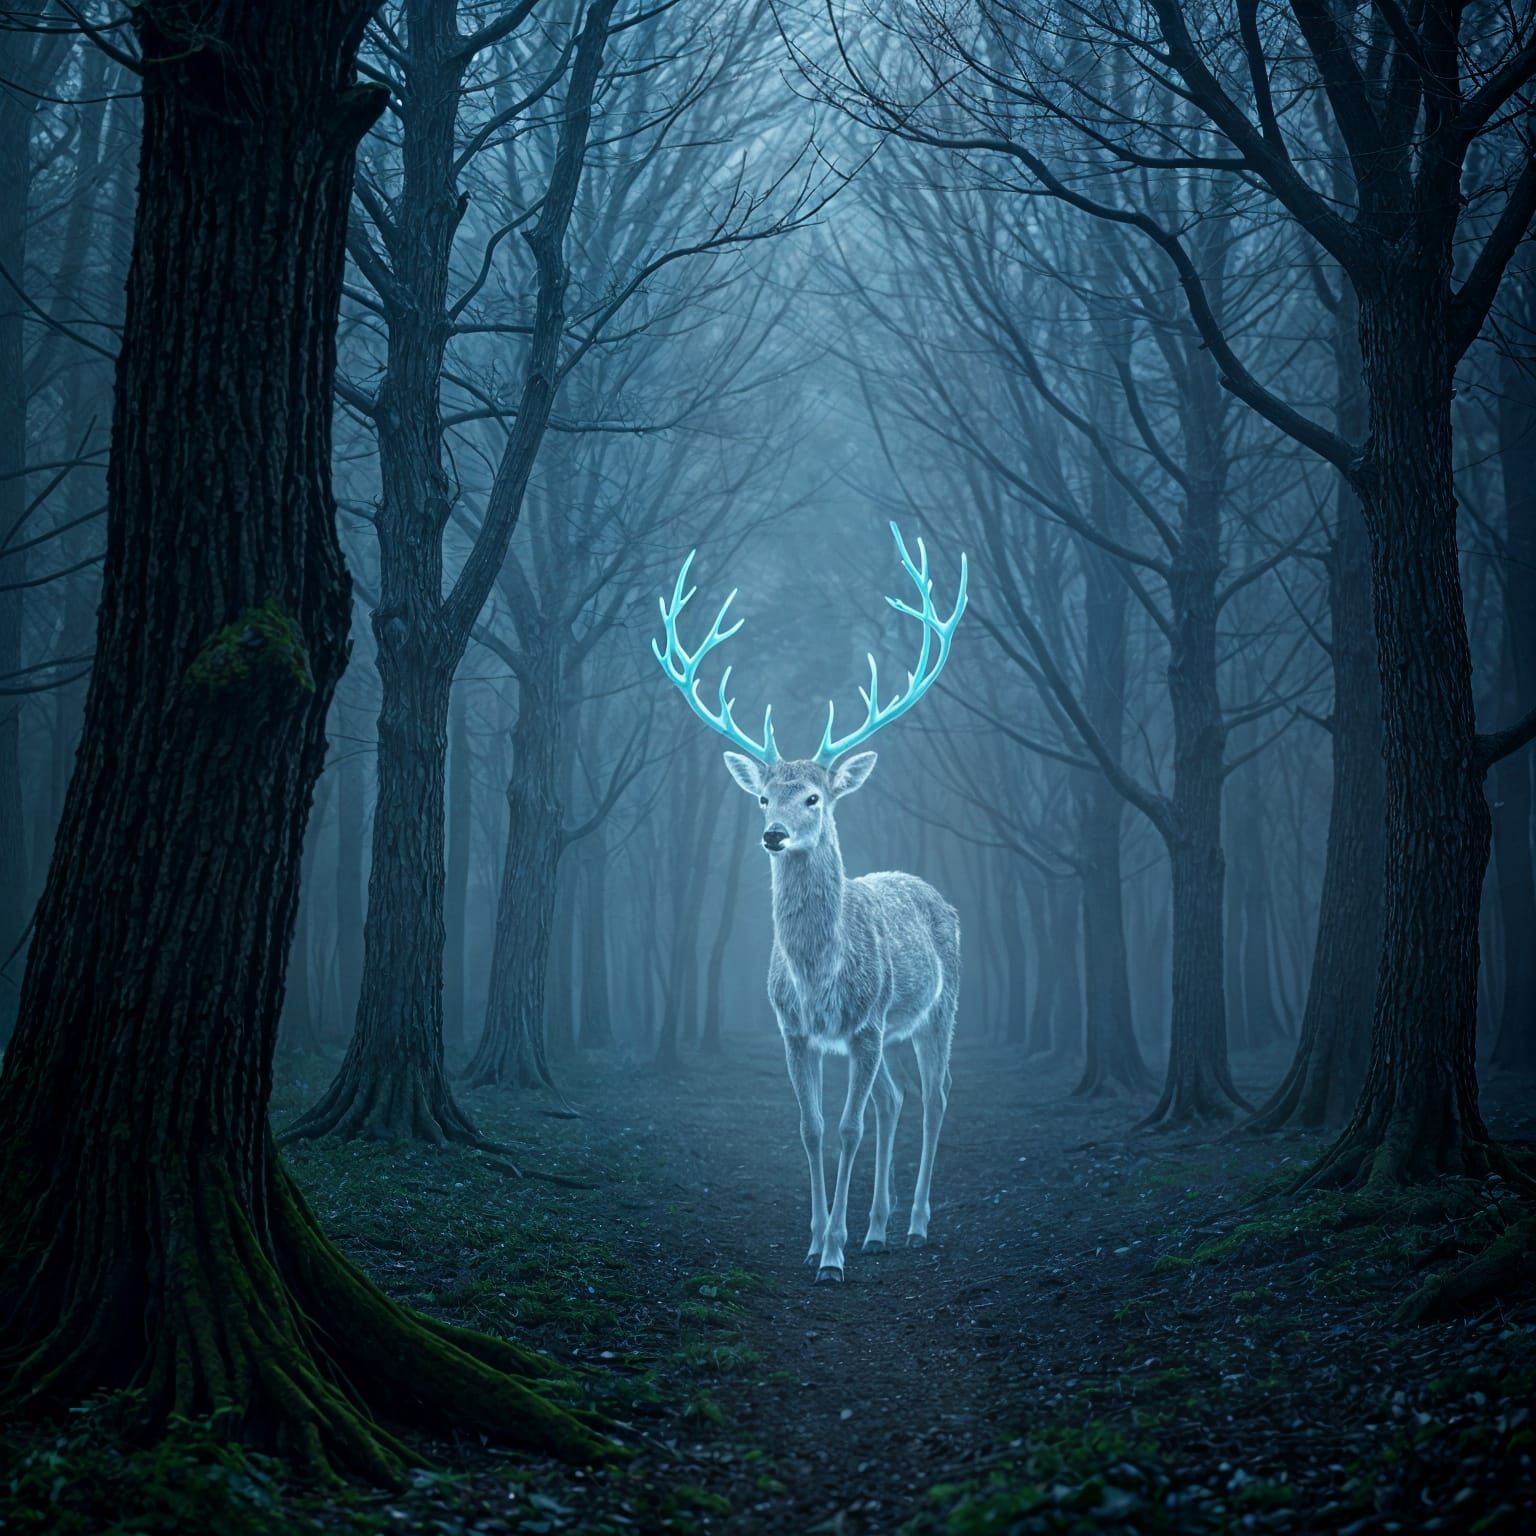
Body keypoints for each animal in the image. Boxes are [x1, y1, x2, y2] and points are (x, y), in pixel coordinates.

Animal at [651, 523, 967, 1282]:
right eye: (763, 796)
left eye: (815, 797)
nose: (772, 834)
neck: (820, 979)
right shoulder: (793, 1029)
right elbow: (812, 1127)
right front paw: (817, 1238)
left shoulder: (865, 1023)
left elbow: (848, 1128)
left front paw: (834, 1257)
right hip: (890, 1032)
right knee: (895, 1100)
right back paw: (878, 1226)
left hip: (938, 1006)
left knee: (936, 1096)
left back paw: (914, 1223)